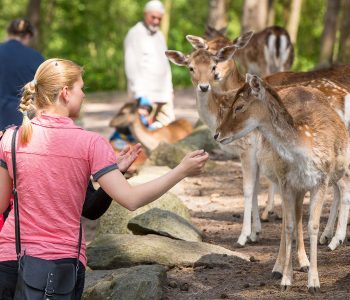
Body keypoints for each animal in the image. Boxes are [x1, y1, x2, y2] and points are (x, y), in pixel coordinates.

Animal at [215, 74, 348, 292]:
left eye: (239, 106)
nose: (217, 134)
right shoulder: (286, 181)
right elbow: (289, 225)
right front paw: (286, 279)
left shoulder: (321, 180)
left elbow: (312, 225)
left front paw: (314, 282)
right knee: (289, 218)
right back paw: (279, 267)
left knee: (299, 214)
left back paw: (305, 262)